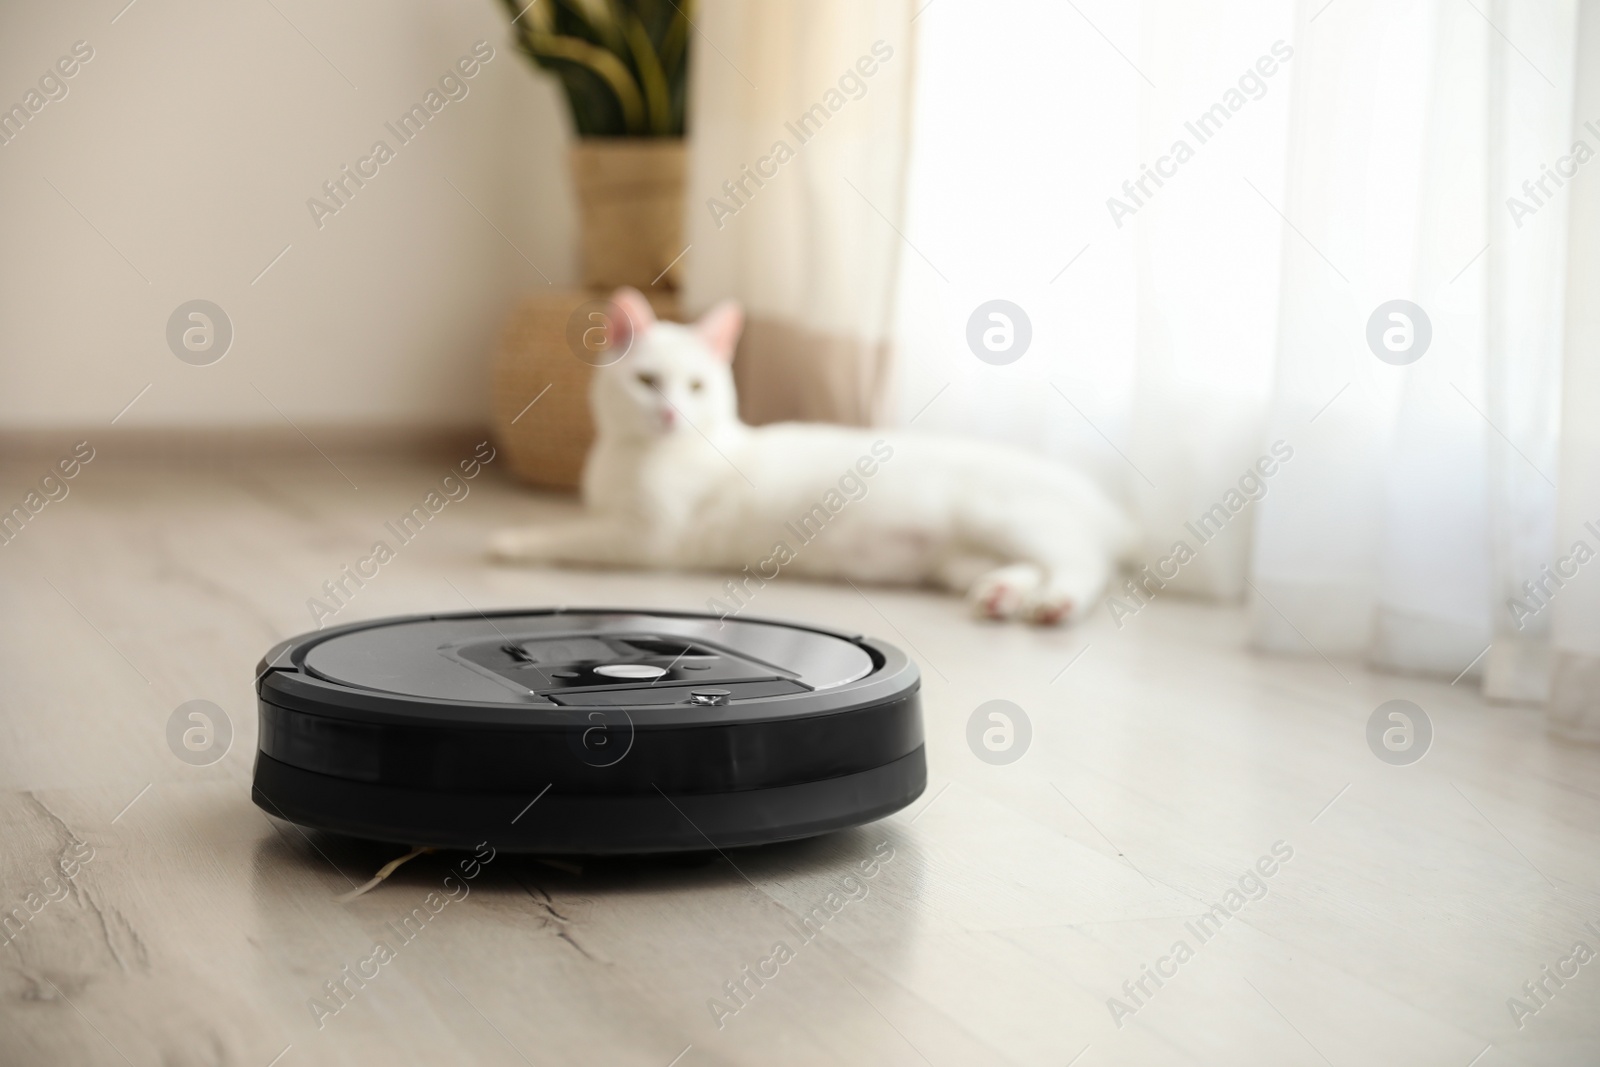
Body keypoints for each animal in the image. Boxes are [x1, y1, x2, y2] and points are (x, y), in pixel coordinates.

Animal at [492, 292, 1132, 627]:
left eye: (696, 386)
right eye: (648, 382)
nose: (671, 414)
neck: (626, 455)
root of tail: (1104, 501)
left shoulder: (648, 537)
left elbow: (572, 534)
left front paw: (515, 541)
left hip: (1007, 516)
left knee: (1082, 563)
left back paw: (1056, 601)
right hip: (959, 556)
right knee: (1023, 566)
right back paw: (1004, 593)